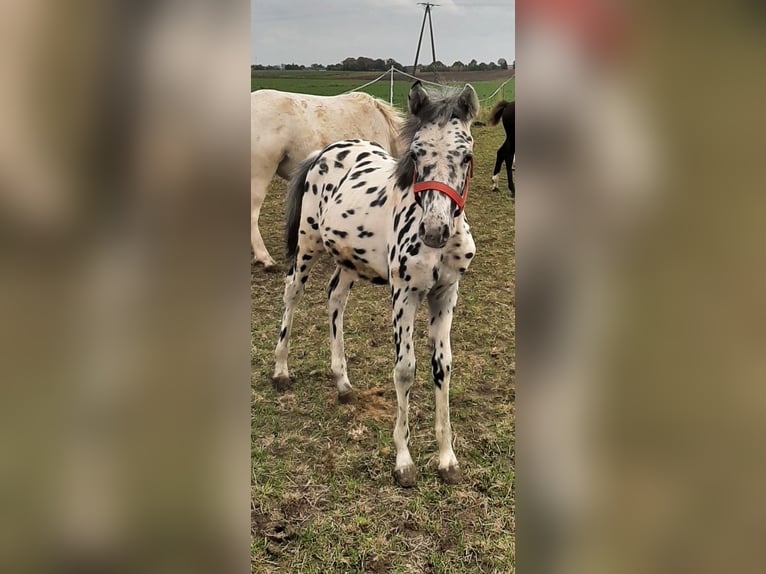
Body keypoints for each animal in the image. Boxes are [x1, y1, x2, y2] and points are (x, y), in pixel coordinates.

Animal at [272, 80, 480, 486]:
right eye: (416, 153)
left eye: (465, 156)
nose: (434, 231)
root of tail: (323, 152)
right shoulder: (404, 295)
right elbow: (405, 369)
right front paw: (404, 461)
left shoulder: (445, 294)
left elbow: (442, 366)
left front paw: (447, 459)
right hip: (306, 245)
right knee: (292, 295)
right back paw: (281, 371)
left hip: (349, 260)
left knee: (335, 299)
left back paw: (342, 383)